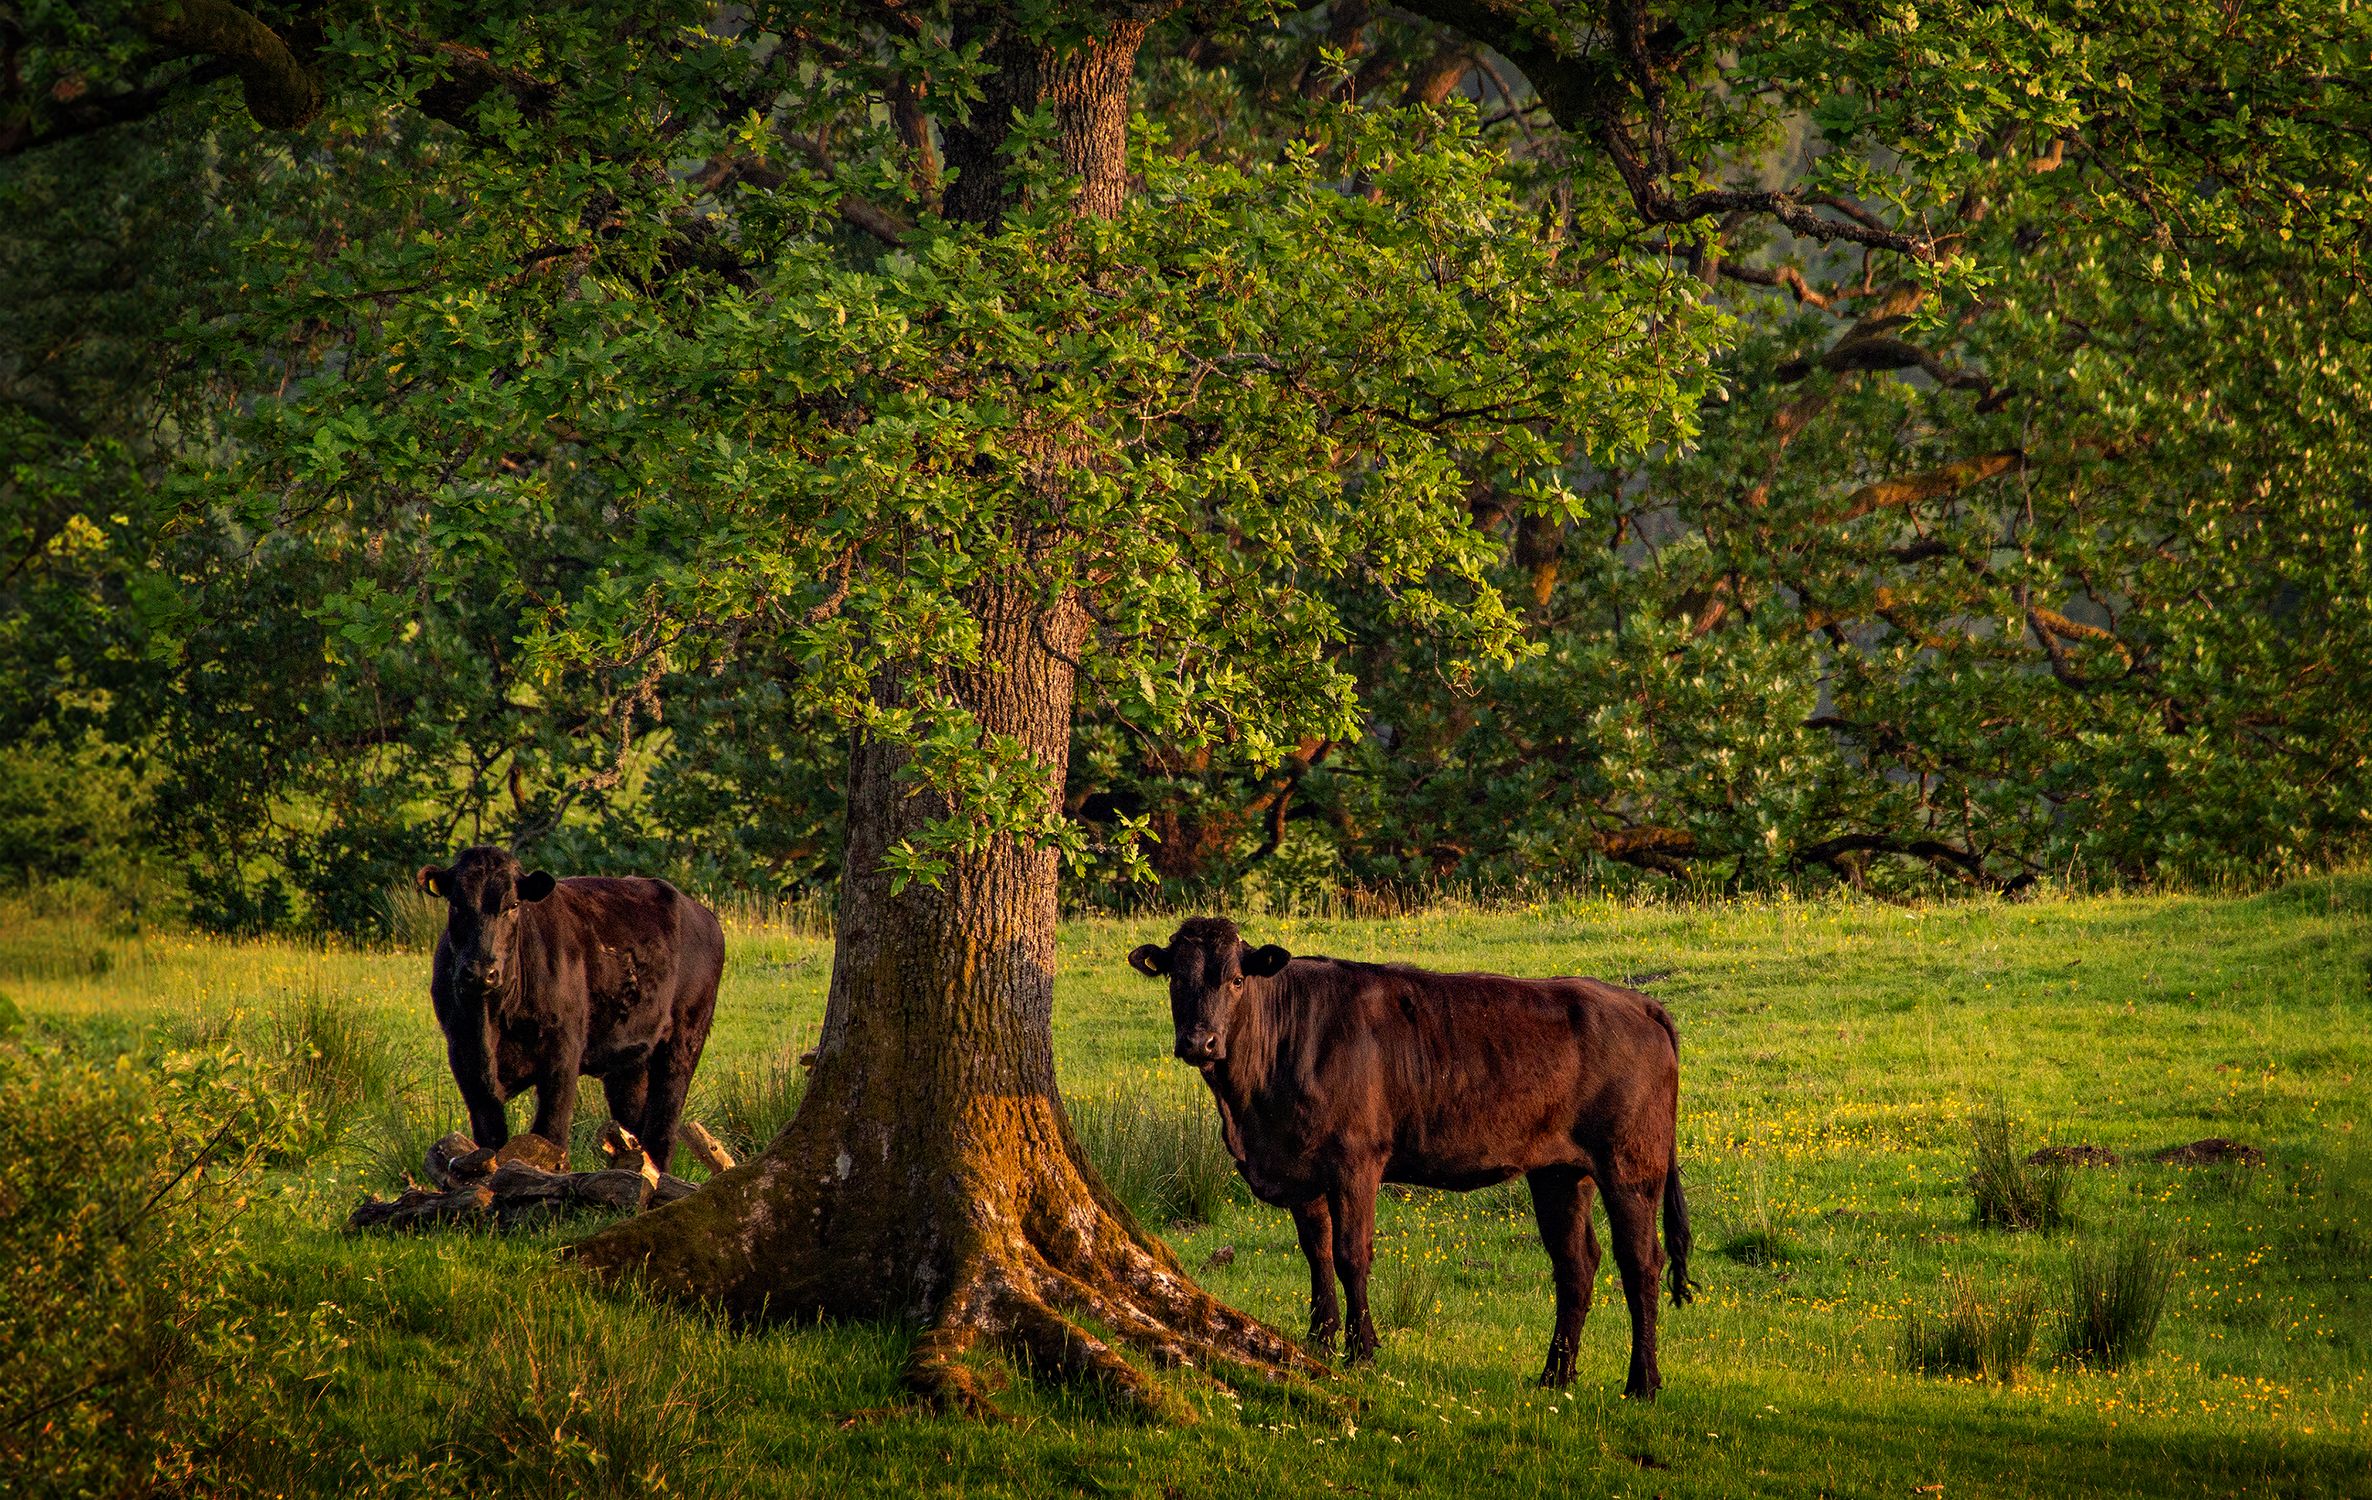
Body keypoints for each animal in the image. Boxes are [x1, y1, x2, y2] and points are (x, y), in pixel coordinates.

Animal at [417, 846, 725, 1172]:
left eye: (513, 905)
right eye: (456, 904)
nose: (480, 972)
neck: (490, 1018)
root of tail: (701, 913)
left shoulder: (563, 1051)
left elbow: (550, 1132)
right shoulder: (464, 1057)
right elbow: (491, 1137)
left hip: (684, 1041)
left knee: (662, 1129)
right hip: (630, 1060)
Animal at [1128, 916, 1694, 1398]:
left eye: (1237, 979)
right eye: (1176, 980)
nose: (1200, 1042)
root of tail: (1637, 1001)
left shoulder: (1356, 1161)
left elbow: (1350, 1254)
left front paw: (1361, 1349)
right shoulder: (1303, 1170)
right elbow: (1316, 1252)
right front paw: (1320, 1339)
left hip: (1630, 1165)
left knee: (1641, 1261)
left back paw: (1642, 1382)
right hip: (1559, 1172)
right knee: (1576, 1262)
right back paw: (1555, 1375)